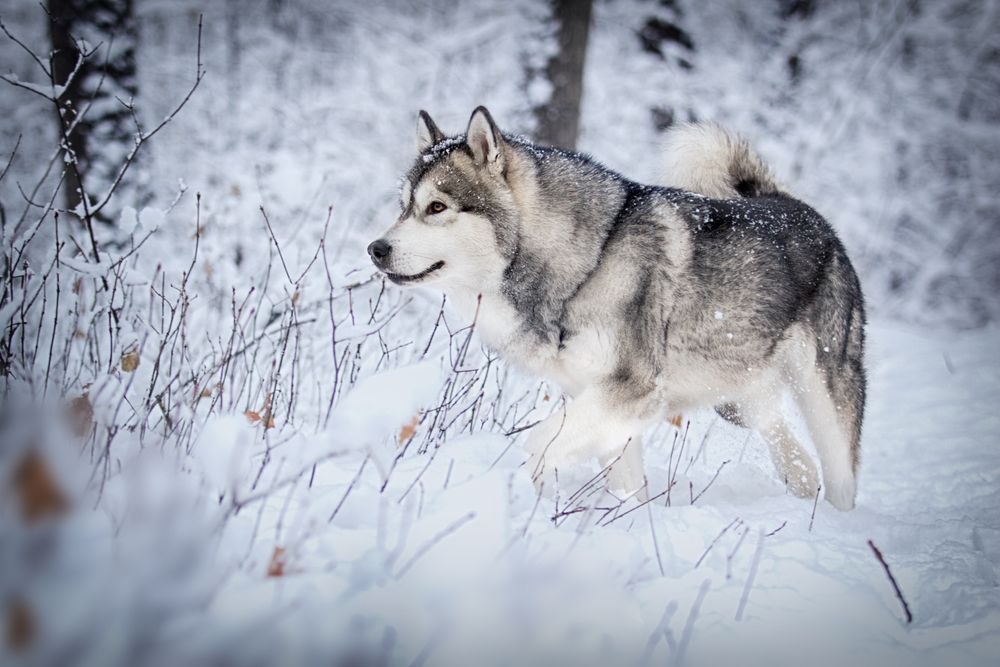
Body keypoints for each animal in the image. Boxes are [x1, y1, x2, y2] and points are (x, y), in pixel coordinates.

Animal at [372, 107, 864, 512]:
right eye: (403, 208)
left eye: (437, 207)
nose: (375, 249)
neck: (587, 263)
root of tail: (791, 203)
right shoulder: (602, 402)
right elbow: (625, 483)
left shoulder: (627, 389)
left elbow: (537, 444)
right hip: (736, 398)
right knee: (786, 440)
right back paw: (801, 484)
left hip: (823, 393)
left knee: (840, 471)